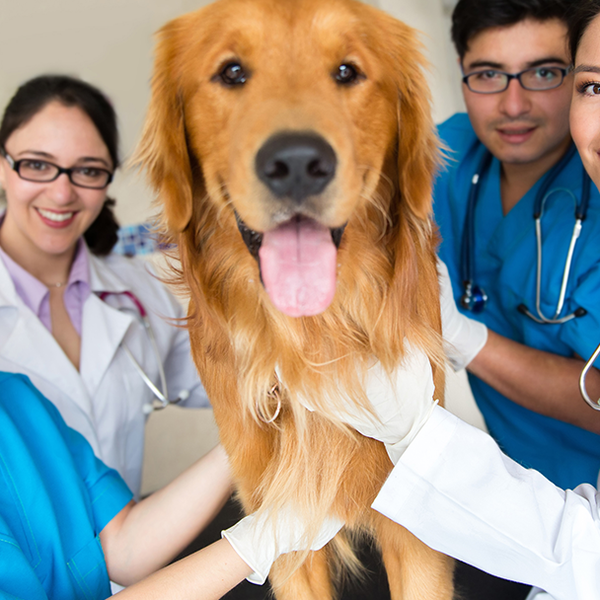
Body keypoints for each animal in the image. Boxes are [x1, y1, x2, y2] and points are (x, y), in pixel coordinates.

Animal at [137, 0, 454, 596]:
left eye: (348, 71)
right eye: (232, 72)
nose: (298, 163)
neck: (312, 337)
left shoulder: (417, 537)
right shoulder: (280, 526)